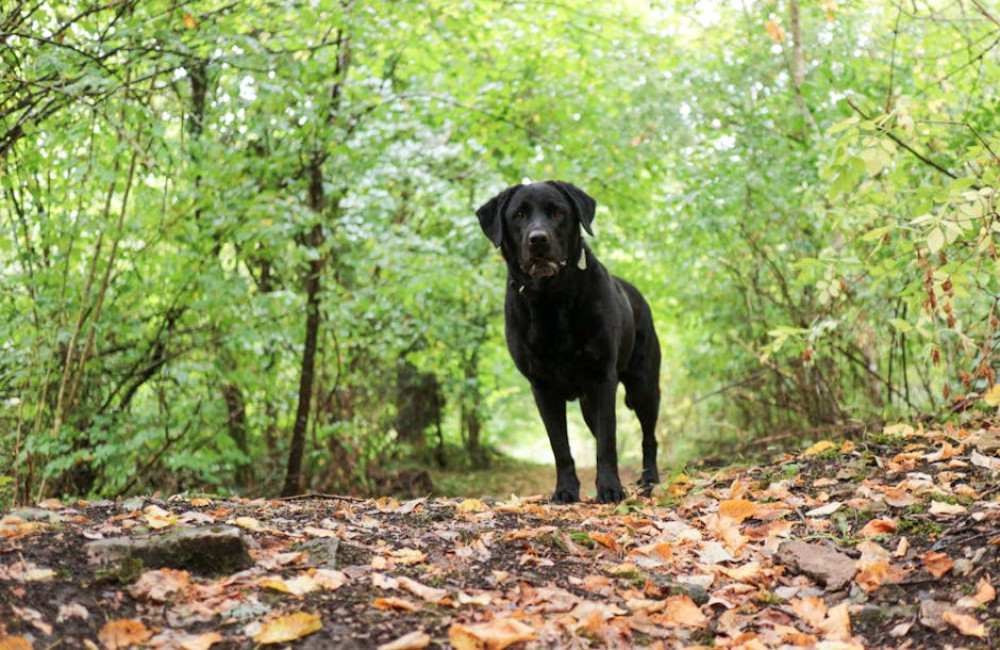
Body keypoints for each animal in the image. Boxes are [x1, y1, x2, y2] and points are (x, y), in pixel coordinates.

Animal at [478, 180, 664, 504]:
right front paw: (565, 490)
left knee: (648, 437)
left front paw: (610, 489)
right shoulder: (542, 387)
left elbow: (607, 443)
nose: (538, 239)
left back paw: (649, 478)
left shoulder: (603, 378)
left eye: (557, 212)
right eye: (518, 215)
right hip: (590, 403)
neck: (551, 299)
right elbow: (560, 447)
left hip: (643, 387)